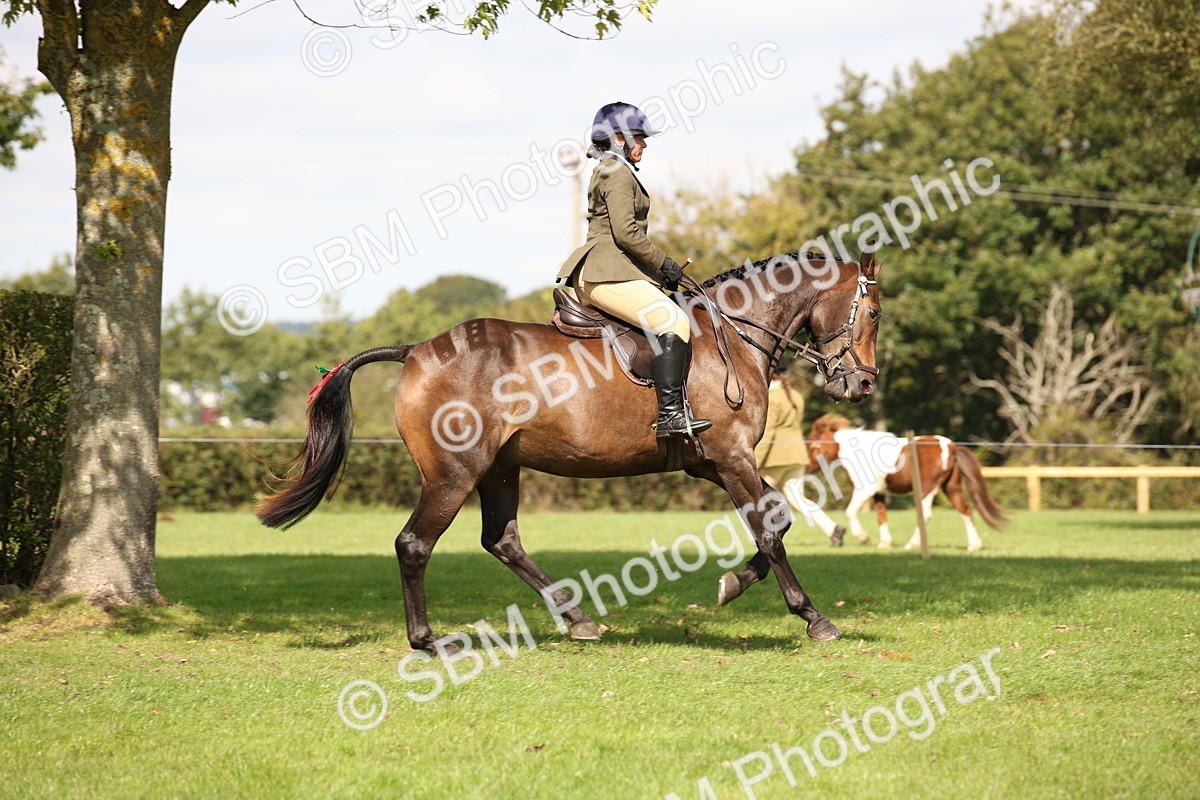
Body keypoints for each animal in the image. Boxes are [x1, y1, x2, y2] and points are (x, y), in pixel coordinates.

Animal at [256, 250, 884, 652]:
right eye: (874, 313)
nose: (862, 383)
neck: (732, 335)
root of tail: (415, 351)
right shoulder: (731, 457)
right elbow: (770, 529)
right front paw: (813, 618)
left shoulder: (713, 462)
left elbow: (777, 517)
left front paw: (732, 584)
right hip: (454, 474)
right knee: (414, 545)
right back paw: (429, 642)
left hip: (499, 469)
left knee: (502, 540)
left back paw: (578, 618)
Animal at [802, 413, 1008, 551]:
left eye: (812, 446)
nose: (805, 468)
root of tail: (951, 446)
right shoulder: (879, 493)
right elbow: (881, 516)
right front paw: (884, 543)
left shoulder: (865, 491)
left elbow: (850, 511)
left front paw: (864, 538)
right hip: (951, 488)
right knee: (965, 511)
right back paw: (974, 545)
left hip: (928, 489)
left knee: (926, 514)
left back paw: (911, 544)